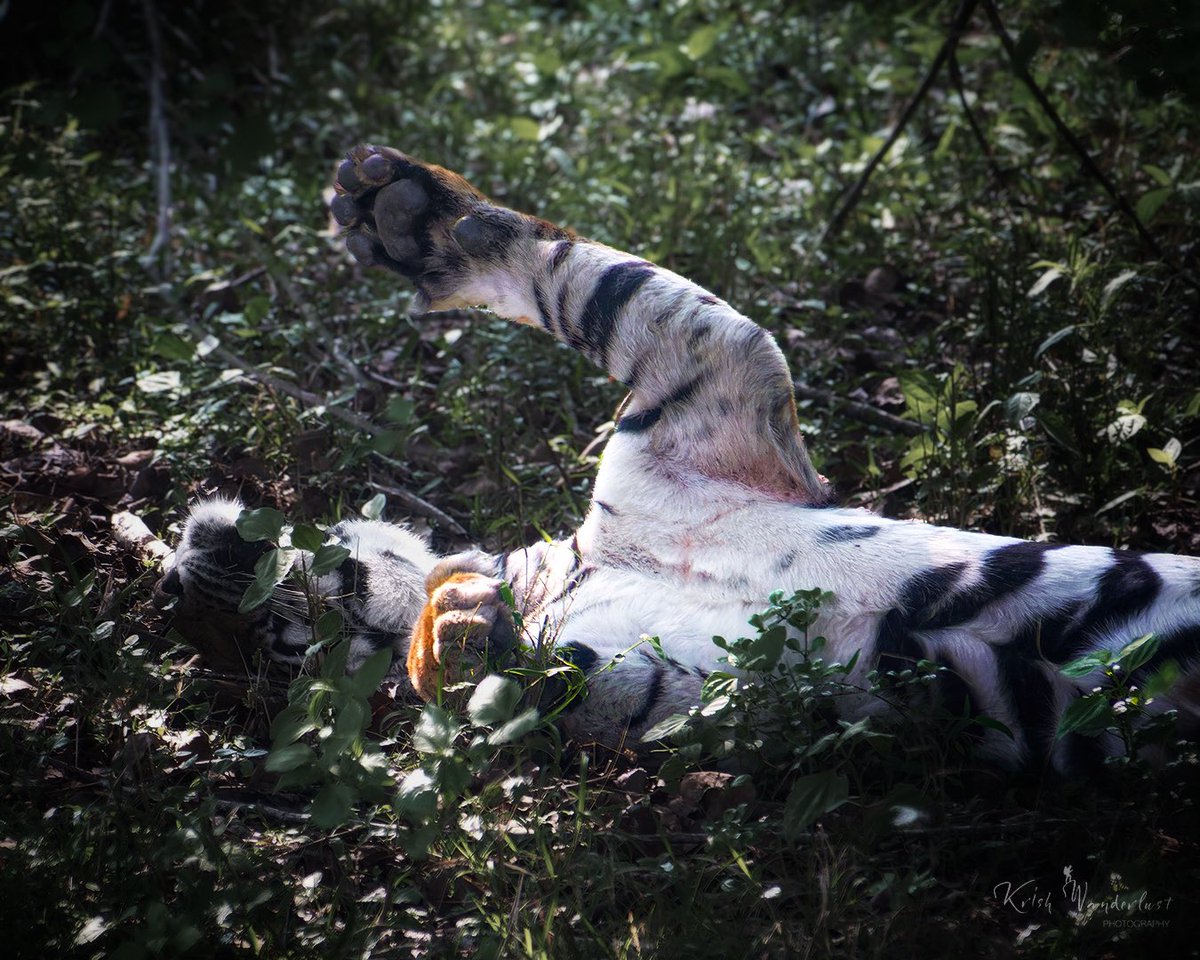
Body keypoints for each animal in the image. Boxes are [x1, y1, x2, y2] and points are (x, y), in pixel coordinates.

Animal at [163, 144, 1200, 776]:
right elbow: (582, 690)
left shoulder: (706, 376)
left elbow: (584, 278)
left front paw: (404, 211)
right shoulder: (705, 688)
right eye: (283, 651)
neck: (552, 571)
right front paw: (458, 638)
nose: (184, 563)